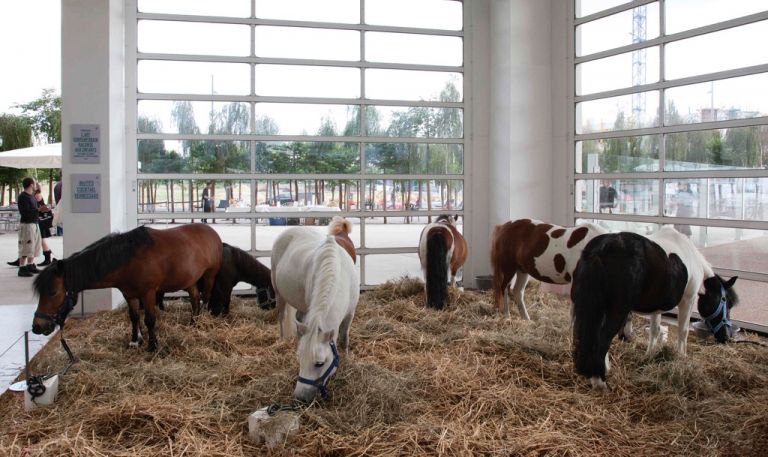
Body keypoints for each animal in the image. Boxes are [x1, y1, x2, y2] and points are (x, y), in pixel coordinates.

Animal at [33, 224, 222, 350]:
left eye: (53, 292)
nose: (37, 327)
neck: (128, 259)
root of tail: (212, 232)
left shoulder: (148, 293)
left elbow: (149, 319)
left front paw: (152, 345)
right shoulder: (129, 294)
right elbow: (134, 317)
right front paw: (135, 340)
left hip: (210, 275)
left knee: (206, 297)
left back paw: (203, 321)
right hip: (190, 281)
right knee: (195, 299)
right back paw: (193, 322)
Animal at [270, 221, 360, 402]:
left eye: (319, 363)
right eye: (299, 359)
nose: (300, 397)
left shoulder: (350, 314)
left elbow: (344, 339)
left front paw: (347, 360)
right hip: (279, 293)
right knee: (282, 317)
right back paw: (282, 340)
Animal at [568, 224, 736, 388]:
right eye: (726, 301)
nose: (726, 337)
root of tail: (601, 250)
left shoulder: (657, 307)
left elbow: (654, 330)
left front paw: (649, 355)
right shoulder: (688, 300)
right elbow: (683, 331)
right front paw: (682, 357)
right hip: (616, 311)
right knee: (602, 340)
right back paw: (599, 381)